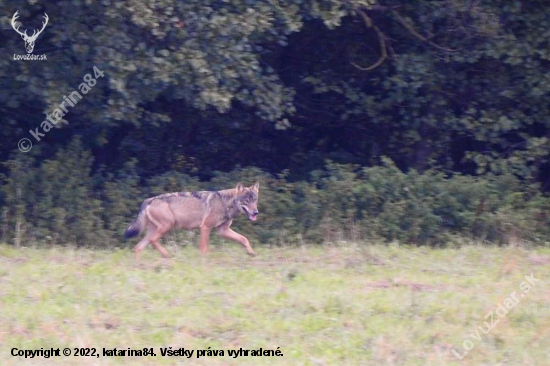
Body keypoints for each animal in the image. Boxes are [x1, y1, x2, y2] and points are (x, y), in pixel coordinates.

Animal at [124, 182, 260, 258]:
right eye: (246, 201)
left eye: (255, 200)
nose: (256, 213)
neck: (224, 203)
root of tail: (149, 199)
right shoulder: (205, 227)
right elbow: (204, 248)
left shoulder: (223, 230)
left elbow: (244, 239)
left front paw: (251, 253)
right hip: (167, 226)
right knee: (152, 241)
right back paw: (167, 255)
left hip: (154, 230)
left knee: (138, 247)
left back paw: (138, 268)